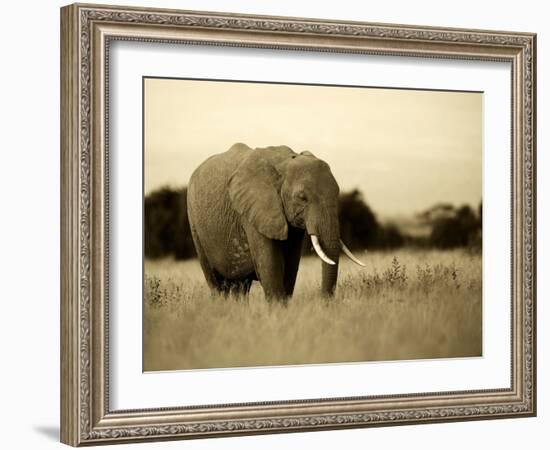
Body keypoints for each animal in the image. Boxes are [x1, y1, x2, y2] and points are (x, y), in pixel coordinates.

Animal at [188, 142, 364, 300]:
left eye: (337, 193)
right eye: (302, 198)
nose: (324, 302)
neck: (284, 163)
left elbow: (291, 265)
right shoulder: (254, 210)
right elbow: (270, 265)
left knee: (241, 286)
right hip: (194, 222)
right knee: (216, 283)